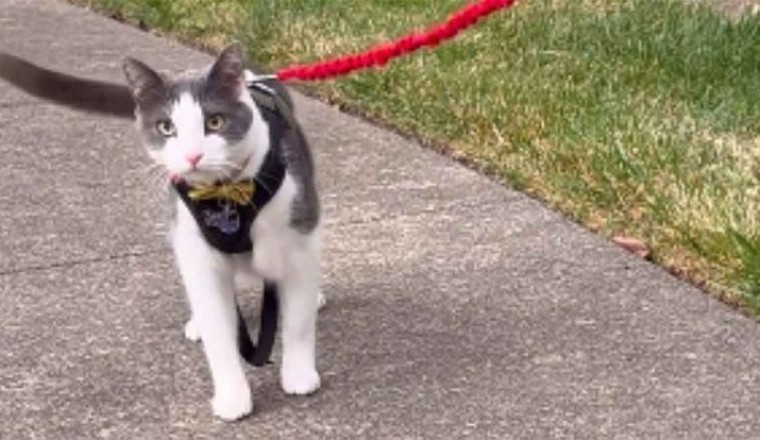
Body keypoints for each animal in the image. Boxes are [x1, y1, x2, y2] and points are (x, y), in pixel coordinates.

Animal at [0, 45, 324, 422]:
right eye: (166, 127)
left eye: (214, 122)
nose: (193, 155)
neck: (226, 195)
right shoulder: (196, 252)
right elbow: (218, 329)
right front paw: (232, 397)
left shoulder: (299, 233)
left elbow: (298, 319)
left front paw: (299, 374)